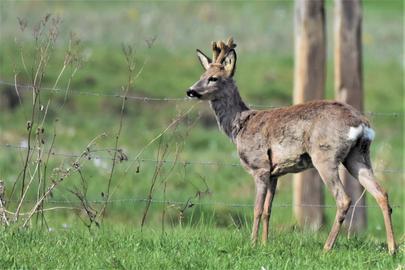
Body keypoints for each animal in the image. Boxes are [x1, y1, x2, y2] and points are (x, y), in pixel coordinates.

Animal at [185, 37, 394, 253]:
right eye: (201, 75)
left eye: (214, 78)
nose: (190, 91)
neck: (240, 126)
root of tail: (361, 124)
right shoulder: (275, 173)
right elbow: (268, 209)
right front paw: (265, 243)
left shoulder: (260, 167)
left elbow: (257, 208)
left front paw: (252, 244)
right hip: (358, 155)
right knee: (381, 194)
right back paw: (392, 249)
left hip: (325, 156)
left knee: (344, 199)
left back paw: (327, 248)